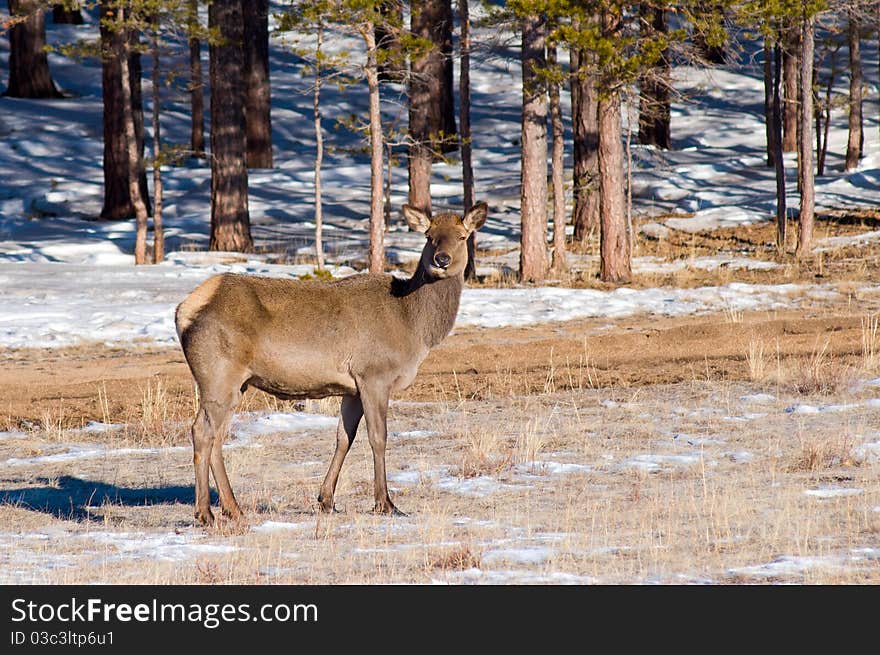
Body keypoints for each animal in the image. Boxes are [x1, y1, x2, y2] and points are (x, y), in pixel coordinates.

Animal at [172, 202, 488, 524]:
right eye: (429, 236)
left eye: (462, 236)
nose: (442, 259)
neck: (414, 326)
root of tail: (183, 310)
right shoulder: (374, 374)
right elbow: (378, 437)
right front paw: (386, 503)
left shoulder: (352, 387)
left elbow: (343, 437)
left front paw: (326, 499)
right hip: (218, 374)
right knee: (202, 432)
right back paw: (205, 513)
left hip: (236, 383)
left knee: (217, 436)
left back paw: (233, 507)